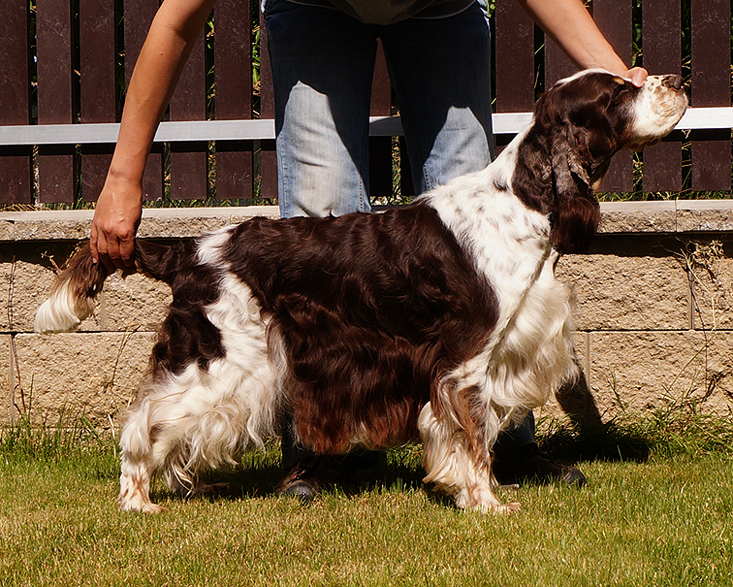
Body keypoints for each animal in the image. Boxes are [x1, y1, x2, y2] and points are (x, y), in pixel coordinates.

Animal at [34, 71, 688, 516]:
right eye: (615, 95)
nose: (678, 80)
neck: (520, 200)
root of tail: (189, 251)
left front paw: (461, 490)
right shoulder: (465, 361)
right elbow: (473, 436)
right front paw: (489, 504)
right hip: (226, 362)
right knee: (143, 421)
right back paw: (137, 501)